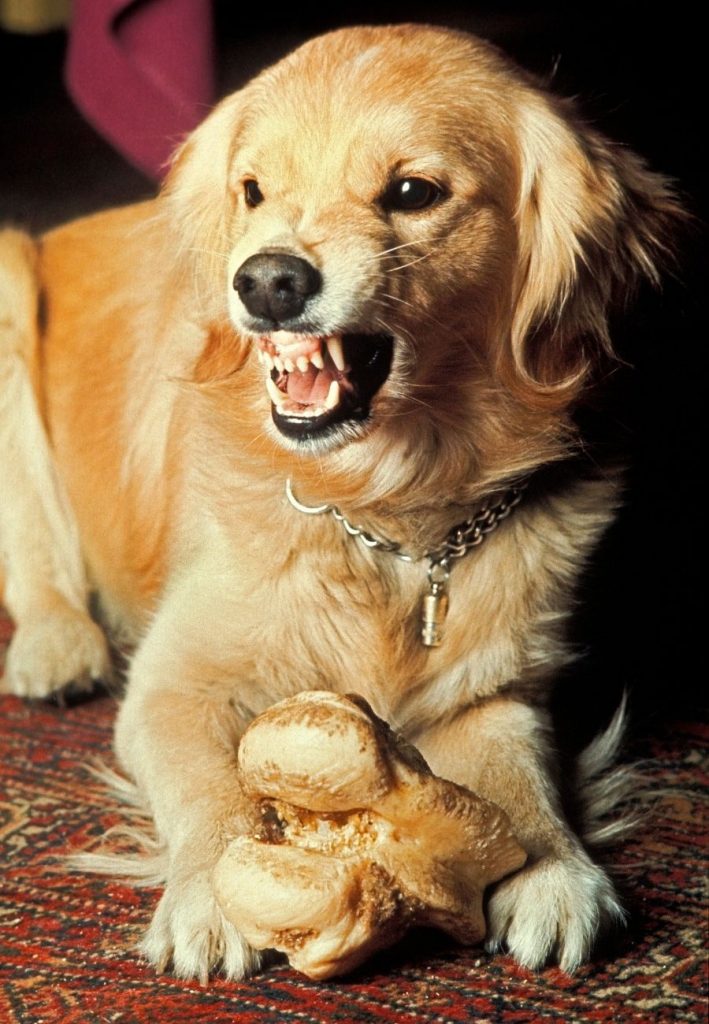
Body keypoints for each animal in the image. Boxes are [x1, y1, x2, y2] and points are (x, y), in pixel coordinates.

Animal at [0, 24, 680, 978]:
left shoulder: (499, 685)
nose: (266, 281)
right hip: (7, 282)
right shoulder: (173, 684)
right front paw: (214, 894)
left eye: (412, 192)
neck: (383, 513)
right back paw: (56, 646)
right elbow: (212, 787)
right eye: (254, 190)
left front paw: (553, 869)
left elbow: (517, 771)